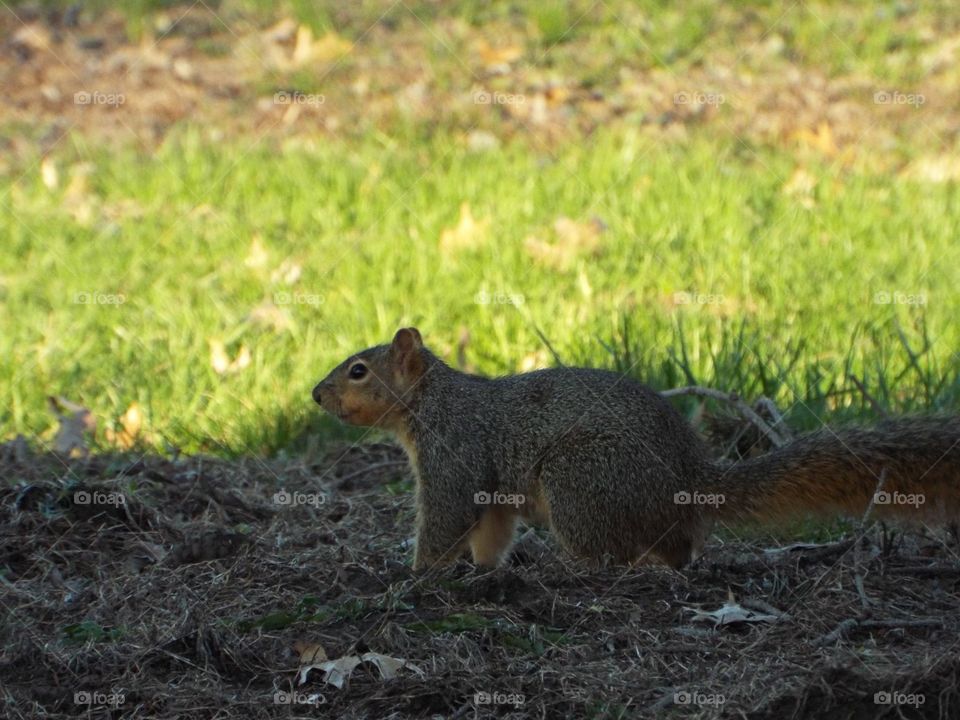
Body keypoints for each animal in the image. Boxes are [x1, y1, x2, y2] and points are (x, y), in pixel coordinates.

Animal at [312, 327, 960, 571]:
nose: (316, 394)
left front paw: (415, 577)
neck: (434, 401)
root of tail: (691, 481)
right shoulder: (489, 487)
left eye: (358, 370)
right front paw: (483, 572)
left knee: (627, 553)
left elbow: (447, 517)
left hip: (580, 477)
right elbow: (490, 531)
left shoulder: (455, 454)